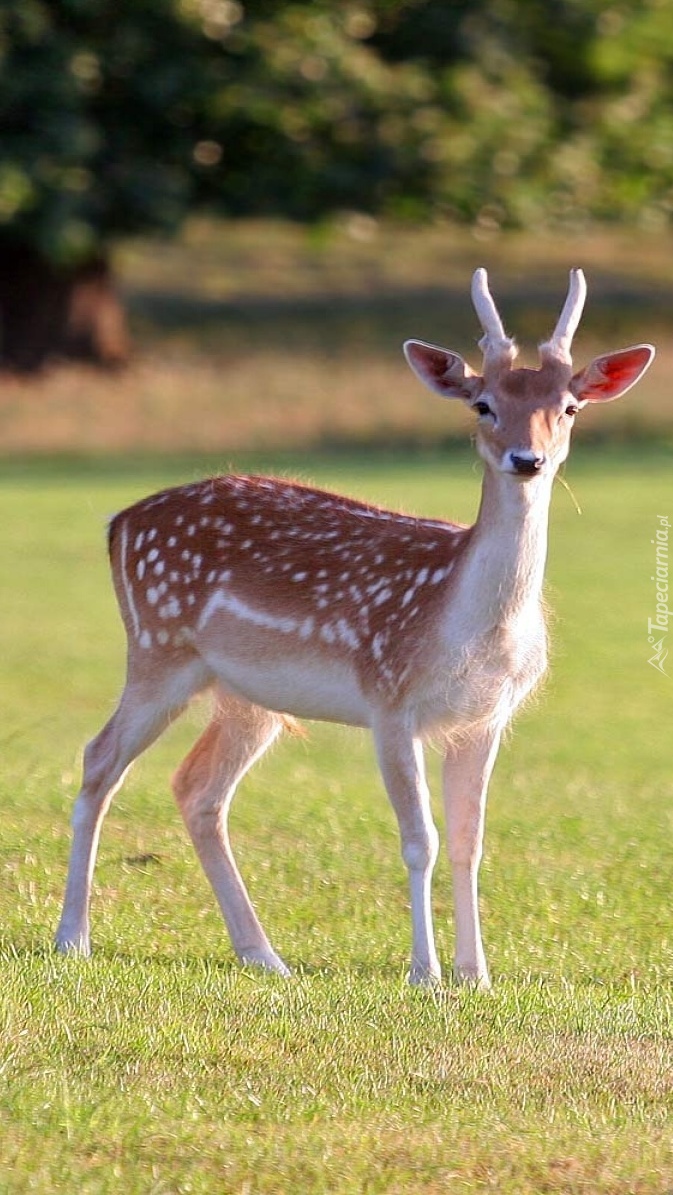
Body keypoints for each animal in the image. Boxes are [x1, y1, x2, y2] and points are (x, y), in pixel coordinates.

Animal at [55, 273, 655, 989]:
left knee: (197, 788)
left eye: (569, 408)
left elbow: (469, 841)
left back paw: (264, 955)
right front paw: (425, 973)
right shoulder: (389, 697)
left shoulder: (486, 718)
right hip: (158, 647)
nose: (526, 459)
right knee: (100, 759)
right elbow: (420, 839)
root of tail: (118, 522)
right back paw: (73, 937)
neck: (469, 627)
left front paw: (476, 974)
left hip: (246, 695)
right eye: (482, 404)